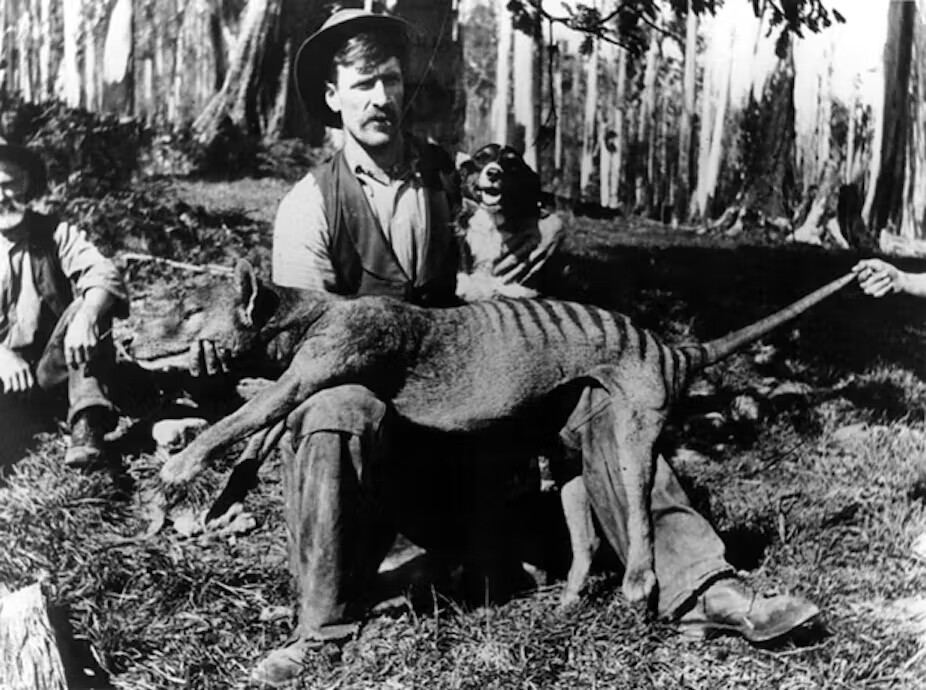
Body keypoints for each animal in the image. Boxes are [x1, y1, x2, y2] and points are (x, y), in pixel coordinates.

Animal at [154, 260, 856, 608]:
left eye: (189, 311)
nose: (133, 331)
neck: (311, 312)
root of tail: (671, 348)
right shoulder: (300, 376)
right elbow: (255, 431)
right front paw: (224, 495)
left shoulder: (322, 363)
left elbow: (243, 418)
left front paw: (182, 467)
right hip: (568, 450)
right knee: (584, 530)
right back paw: (569, 595)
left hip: (634, 431)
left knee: (639, 514)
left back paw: (639, 585)